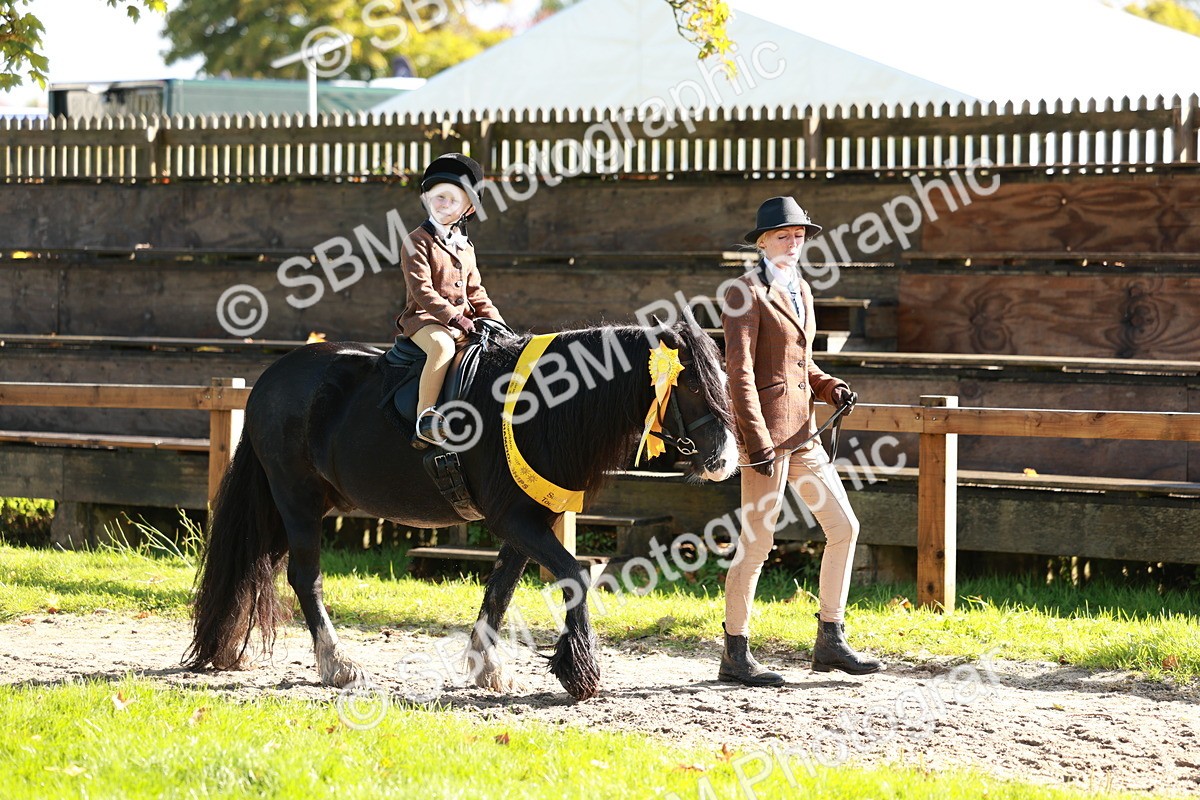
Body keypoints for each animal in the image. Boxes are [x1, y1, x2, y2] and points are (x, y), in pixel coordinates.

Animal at [184, 317, 738, 701]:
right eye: (690, 384)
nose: (725, 459)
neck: (542, 406)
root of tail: (268, 379)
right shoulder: (514, 519)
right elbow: (574, 574)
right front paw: (580, 673)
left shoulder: (528, 520)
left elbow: (502, 589)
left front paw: (487, 666)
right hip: (296, 501)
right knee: (305, 577)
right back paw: (337, 663)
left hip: (296, 505)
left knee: (261, 567)